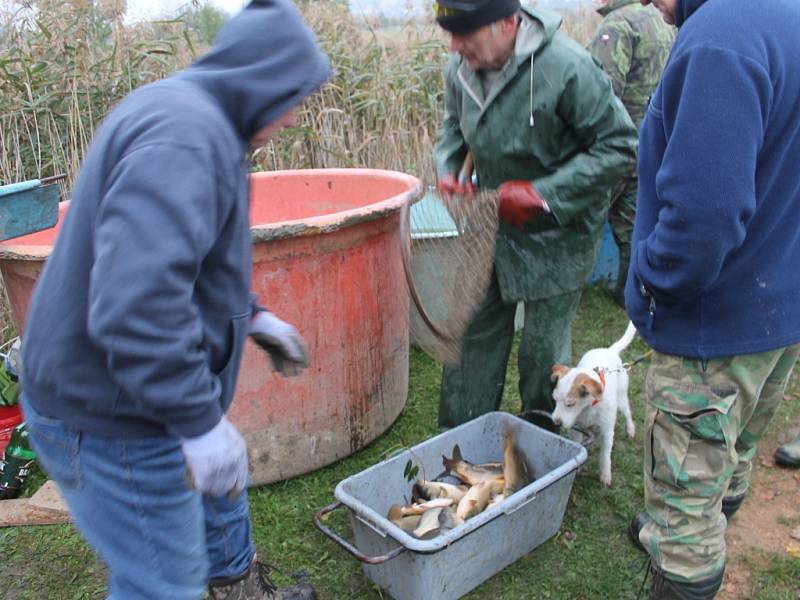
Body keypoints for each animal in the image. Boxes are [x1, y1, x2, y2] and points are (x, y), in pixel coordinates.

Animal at [552, 322, 636, 486]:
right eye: (555, 400)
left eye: (570, 404)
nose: (556, 422)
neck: (589, 407)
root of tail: (609, 350)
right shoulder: (576, 427)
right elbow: (577, 443)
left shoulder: (607, 431)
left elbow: (605, 455)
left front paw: (605, 474)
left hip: (622, 399)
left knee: (628, 413)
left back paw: (630, 429)